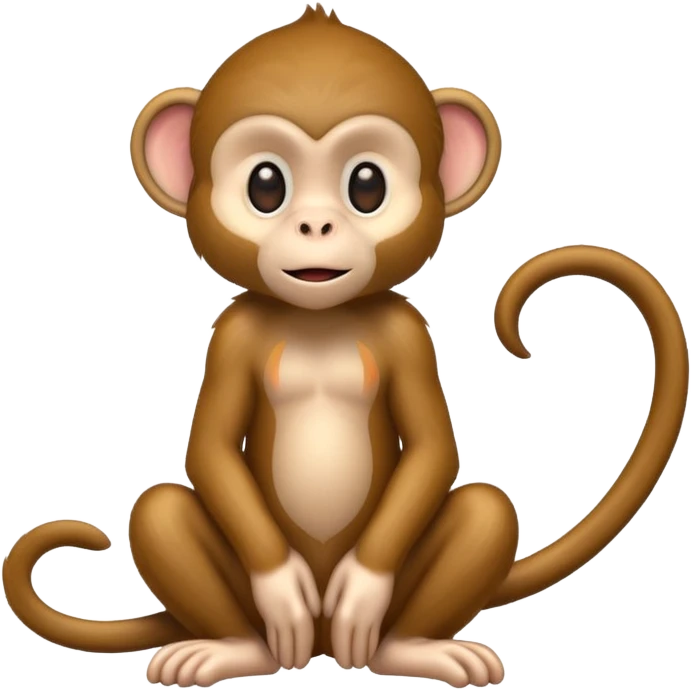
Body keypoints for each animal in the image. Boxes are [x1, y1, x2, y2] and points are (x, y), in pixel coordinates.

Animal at [2, 4, 688, 689]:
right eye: (266, 185)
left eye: (366, 185)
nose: (316, 225)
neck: (320, 320)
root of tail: (323, 646)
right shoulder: (232, 332)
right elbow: (212, 450)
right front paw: (280, 588)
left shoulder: (407, 331)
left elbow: (433, 448)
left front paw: (363, 587)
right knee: (160, 513)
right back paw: (234, 648)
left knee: (485, 513)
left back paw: (413, 647)